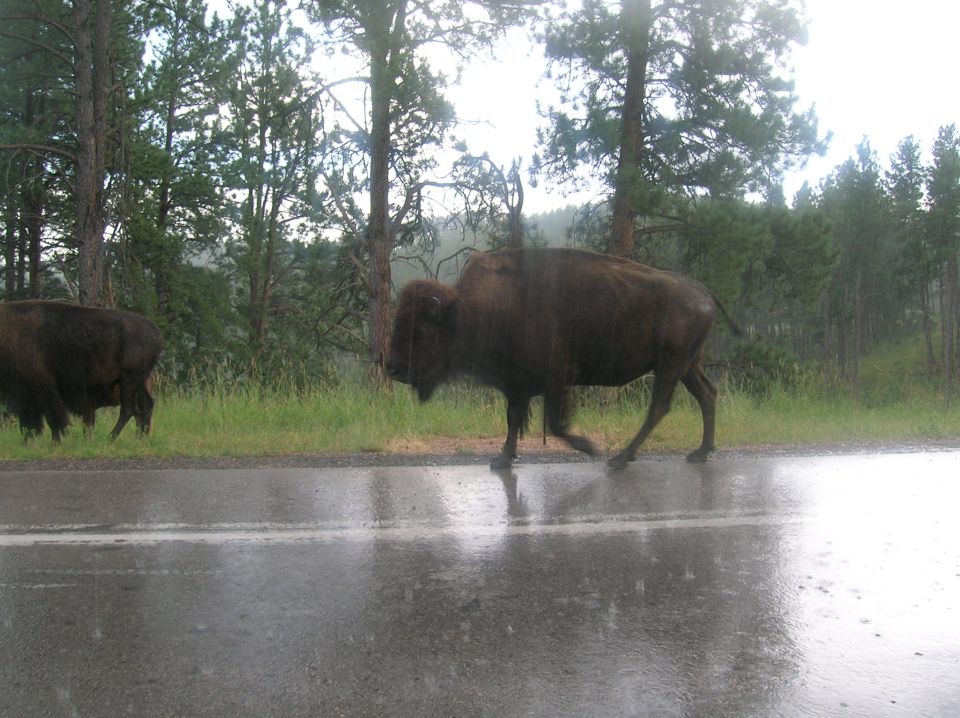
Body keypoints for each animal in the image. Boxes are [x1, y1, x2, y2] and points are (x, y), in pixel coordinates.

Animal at [0, 300, 162, 441]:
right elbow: (30, 422)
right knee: (145, 406)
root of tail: (156, 332)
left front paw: (57, 440)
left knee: (129, 409)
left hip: (129, 380)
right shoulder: (27, 394)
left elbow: (52, 419)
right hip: (138, 383)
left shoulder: (43, 389)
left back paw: (110, 438)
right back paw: (140, 438)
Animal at [386, 247, 738, 470]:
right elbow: (513, 419)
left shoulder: (557, 380)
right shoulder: (517, 385)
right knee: (707, 395)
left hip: (671, 365)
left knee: (660, 406)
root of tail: (703, 292)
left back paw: (620, 459)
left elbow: (554, 424)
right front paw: (502, 459)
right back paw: (700, 452)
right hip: (688, 364)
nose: (392, 368)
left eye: (418, 331)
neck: (468, 311)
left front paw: (589, 447)